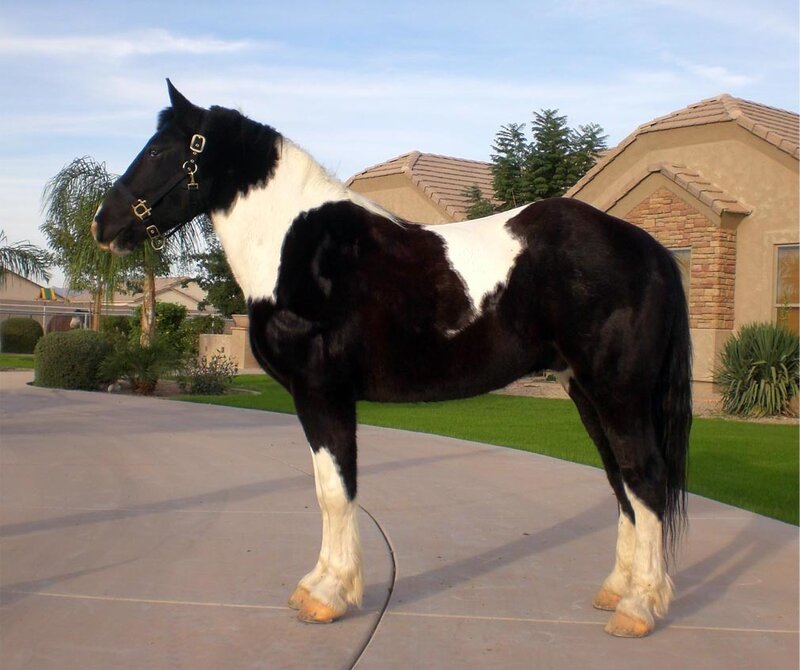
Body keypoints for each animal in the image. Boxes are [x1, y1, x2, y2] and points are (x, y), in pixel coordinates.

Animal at [92, 80, 691, 637]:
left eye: (158, 151)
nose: (102, 224)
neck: (303, 252)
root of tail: (651, 249)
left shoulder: (322, 392)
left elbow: (335, 491)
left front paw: (328, 595)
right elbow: (327, 487)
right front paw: (318, 585)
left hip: (618, 392)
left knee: (645, 477)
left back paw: (639, 607)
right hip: (586, 390)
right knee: (622, 482)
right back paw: (617, 591)